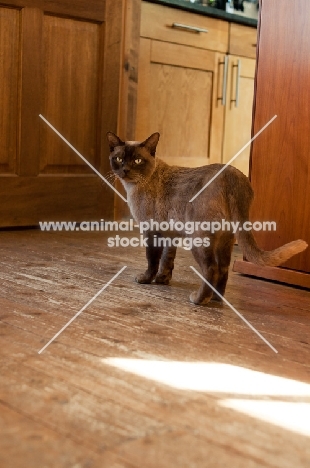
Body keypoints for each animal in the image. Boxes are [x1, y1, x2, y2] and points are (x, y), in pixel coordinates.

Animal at [106, 132, 308, 308]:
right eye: (119, 159)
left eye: (137, 161)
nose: (125, 170)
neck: (135, 186)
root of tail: (232, 174)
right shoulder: (170, 235)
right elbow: (167, 260)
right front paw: (163, 281)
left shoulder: (151, 231)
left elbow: (153, 260)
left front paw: (146, 279)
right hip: (224, 241)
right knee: (223, 269)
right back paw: (216, 299)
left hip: (199, 240)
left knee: (211, 269)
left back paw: (199, 300)